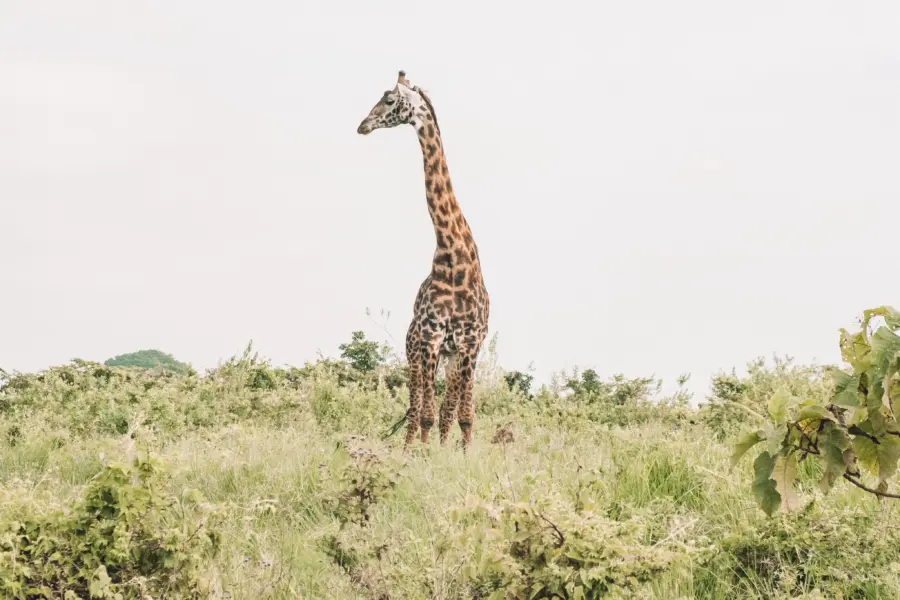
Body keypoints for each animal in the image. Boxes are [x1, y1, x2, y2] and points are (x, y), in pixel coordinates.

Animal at [357, 71, 490, 451]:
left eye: (388, 100)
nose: (362, 125)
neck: (454, 255)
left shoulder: (469, 344)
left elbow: (462, 415)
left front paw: (459, 455)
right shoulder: (430, 338)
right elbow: (428, 414)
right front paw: (422, 457)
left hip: (449, 355)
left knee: (441, 408)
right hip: (414, 350)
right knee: (416, 408)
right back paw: (408, 449)